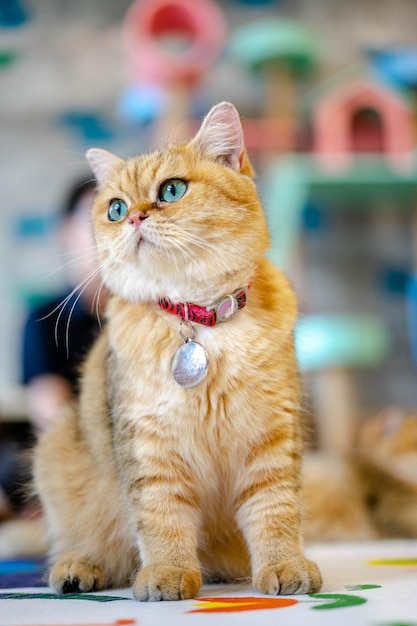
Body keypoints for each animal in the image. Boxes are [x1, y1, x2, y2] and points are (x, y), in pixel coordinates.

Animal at [33, 102, 322, 600]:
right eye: (115, 208)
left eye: (171, 190)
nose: (134, 217)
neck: (199, 322)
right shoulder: (149, 445)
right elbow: (161, 516)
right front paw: (168, 573)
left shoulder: (272, 437)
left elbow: (276, 510)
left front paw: (285, 565)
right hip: (58, 458)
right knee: (92, 547)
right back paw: (78, 569)